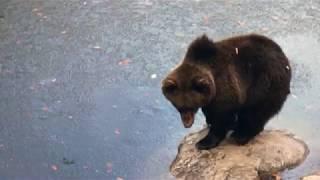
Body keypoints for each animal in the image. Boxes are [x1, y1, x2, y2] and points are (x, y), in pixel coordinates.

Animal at [161, 33, 292, 149]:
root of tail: (285, 59)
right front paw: (208, 123)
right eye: (179, 106)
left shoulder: (225, 87)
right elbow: (210, 112)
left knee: (254, 111)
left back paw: (241, 135)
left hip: (265, 83)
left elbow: (221, 117)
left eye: (191, 106)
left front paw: (204, 142)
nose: (187, 123)